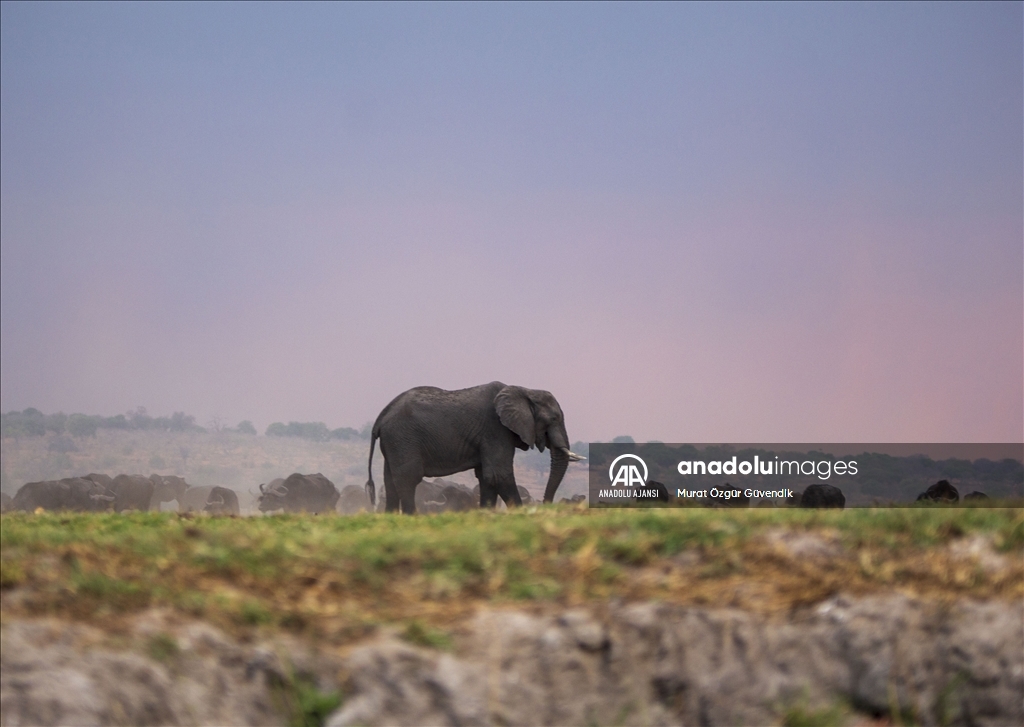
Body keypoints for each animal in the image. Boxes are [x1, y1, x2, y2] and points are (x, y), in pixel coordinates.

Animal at [366, 381, 584, 514]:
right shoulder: (495, 429)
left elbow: (486, 477)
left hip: (394, 442)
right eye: (554, 419)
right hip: (403, 438)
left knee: (390, 482)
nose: (546, 505)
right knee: (408, 479)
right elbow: (498, 474)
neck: (524, 390)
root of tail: (381, 417)